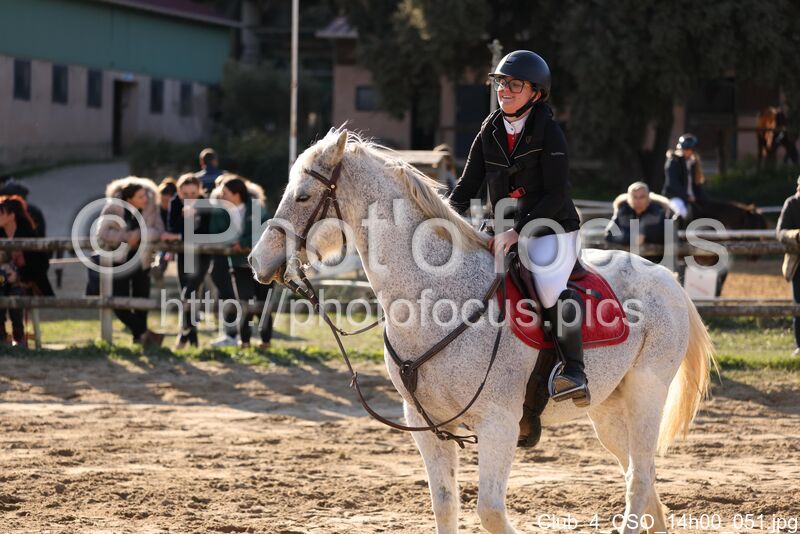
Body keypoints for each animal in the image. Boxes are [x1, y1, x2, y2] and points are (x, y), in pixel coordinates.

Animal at [249, 129, 716, 534]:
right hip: (607, 409)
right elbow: (444, 504)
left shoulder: (498, 424)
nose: (257, 260)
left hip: (645, 393)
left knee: (639, 477)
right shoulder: (424, 423)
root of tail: (666, 277)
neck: (435, 299)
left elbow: (490, 511)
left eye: (303, 195)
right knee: (642, 477)